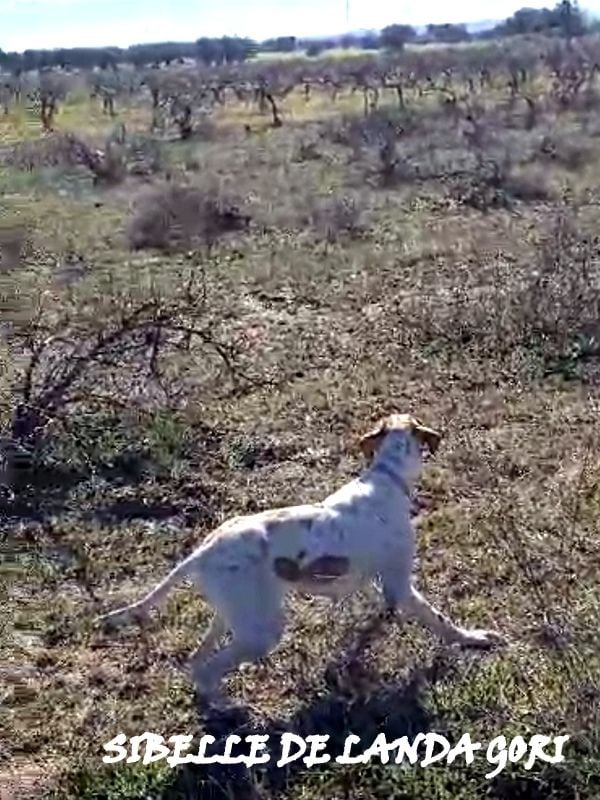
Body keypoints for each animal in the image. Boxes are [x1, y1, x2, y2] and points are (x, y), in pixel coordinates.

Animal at [98, 416, 502, 704]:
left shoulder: (380, 583)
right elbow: (440, 621)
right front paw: (473, 638)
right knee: (207, 671)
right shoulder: (402, 584)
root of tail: (204, 550)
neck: (384, 478)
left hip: (232, 617)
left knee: (197, 662)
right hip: (262, 630)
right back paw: (231, 712)